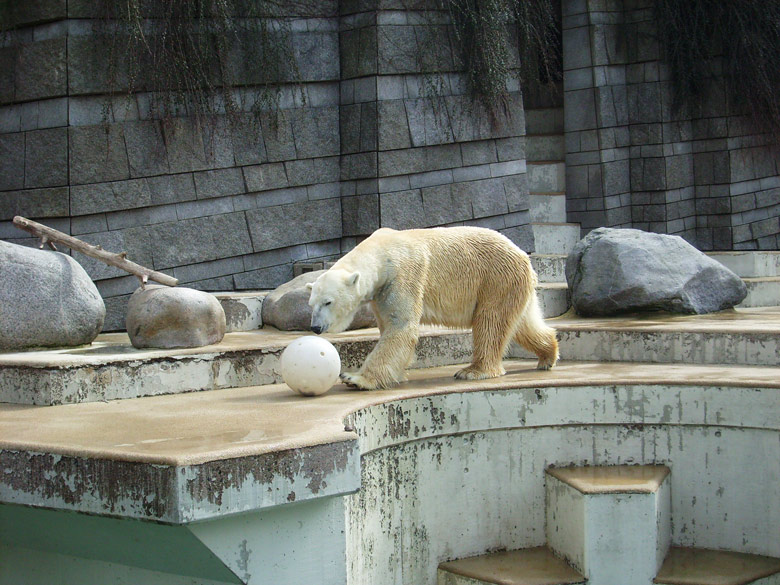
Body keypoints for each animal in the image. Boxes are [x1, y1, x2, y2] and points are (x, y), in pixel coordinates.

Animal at [308, 226, 556, 390]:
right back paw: (548, 356)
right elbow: (388, 325)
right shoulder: (380, 293)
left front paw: (354, 378)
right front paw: (399, 374)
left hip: (495, 279)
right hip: (512, 285)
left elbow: (401, 327)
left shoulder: (402, 276)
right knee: (523, 324)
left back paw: (472, 371)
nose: (316, 327)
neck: (382, 252)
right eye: (311, 304)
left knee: (490, 323)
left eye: (328, 301)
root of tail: (523, 256)